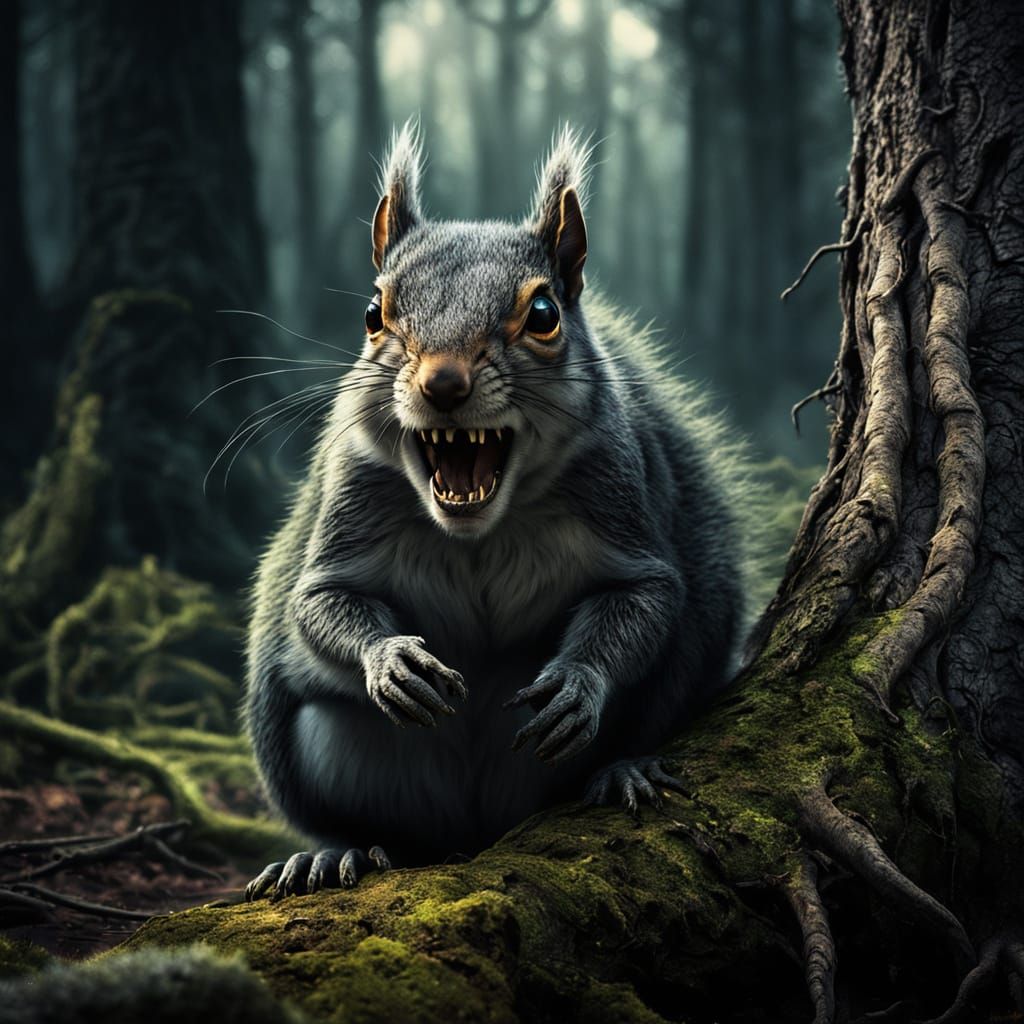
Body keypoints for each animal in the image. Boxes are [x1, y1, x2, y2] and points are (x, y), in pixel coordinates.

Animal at [243, 125, 758, 898]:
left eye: (544, 315)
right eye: (373, 315)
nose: (443, 382)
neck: (479, 530)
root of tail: (478, 832)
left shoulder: (618, 494)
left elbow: (646, 596)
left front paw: (578, 682)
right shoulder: (353, 495)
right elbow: (318, 602)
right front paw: (390, 661)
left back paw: (622, 770)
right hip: (330, 753)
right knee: (364, 821)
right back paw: (334, 853)